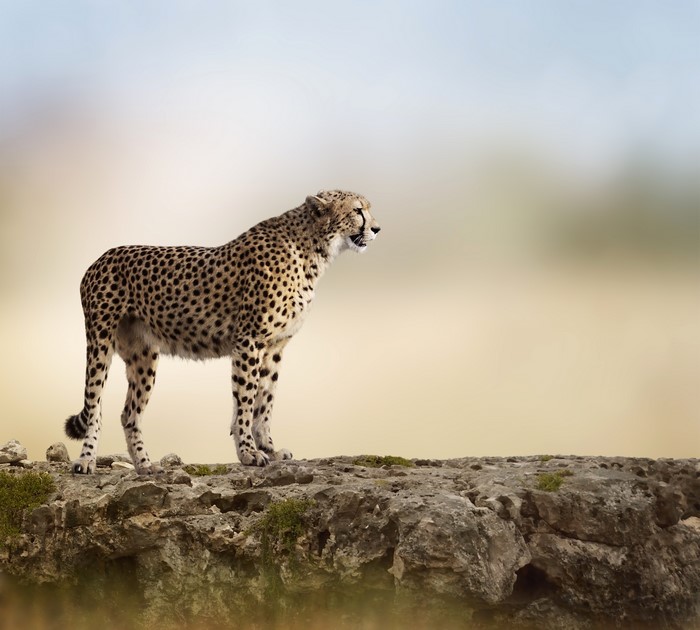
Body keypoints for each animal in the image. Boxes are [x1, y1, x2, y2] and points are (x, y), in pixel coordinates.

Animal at [64, 190, 380, 474]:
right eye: (357, 210)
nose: (377, 228)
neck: (313, 249)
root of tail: (101, 257)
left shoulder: (275, 346)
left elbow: (265, 401)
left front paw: (269, 449)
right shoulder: (249, 340)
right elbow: (246, 400)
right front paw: (249, 453)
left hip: (144, 356)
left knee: (129, 414)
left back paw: (145, 465)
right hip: (100, 342)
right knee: (94, 406)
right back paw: (86, 461)